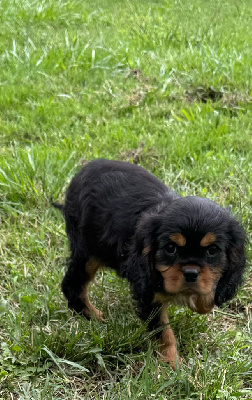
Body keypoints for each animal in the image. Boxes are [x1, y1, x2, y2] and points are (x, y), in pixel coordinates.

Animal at [53, 159, 246, 368]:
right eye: (170, 248)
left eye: (212, 251)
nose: (191, 273)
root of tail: (82, 172)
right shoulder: (146, 291)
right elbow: (163, 332)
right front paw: (172, 363)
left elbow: (206, 295)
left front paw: (201, 300)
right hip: (88, 252)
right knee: (72, 284)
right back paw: (93, 316)